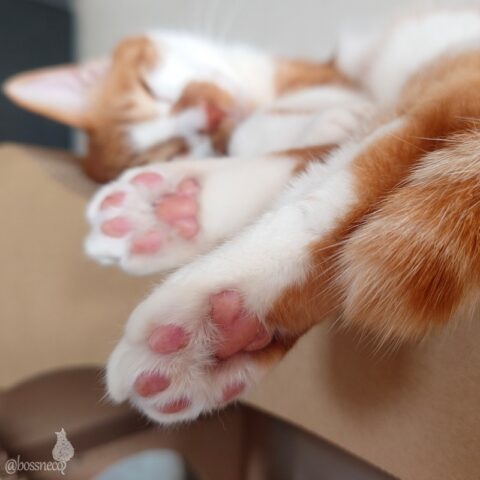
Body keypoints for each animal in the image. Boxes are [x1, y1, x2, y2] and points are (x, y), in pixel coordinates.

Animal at [4, 8, 480, 424]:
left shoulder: (338, 81)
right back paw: (219, 311)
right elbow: (276, 143)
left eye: (150, 88)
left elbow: (292, 125)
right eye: (178, 148)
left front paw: (322, 121)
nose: (209, 113)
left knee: (366, 164)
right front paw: (175, 209)